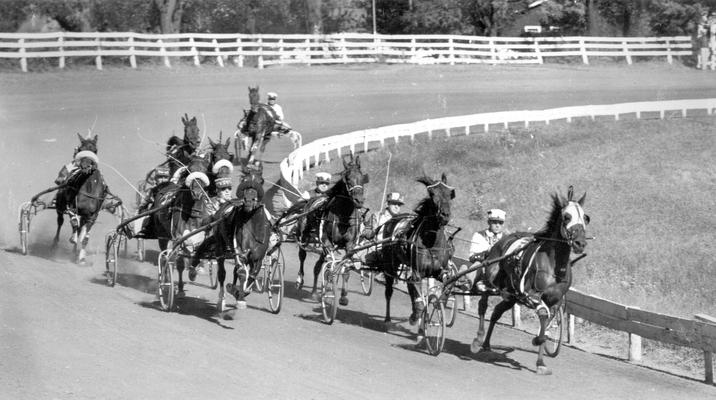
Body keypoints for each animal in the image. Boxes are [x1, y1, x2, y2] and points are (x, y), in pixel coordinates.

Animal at [282, 154, 366, 304]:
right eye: (347, 179)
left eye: (362, 177)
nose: (359, 200)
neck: (343, 216)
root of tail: (308, 202)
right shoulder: (327, 240)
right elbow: (330, 263)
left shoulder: (350, 245)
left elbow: (346, 267)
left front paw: (343, 296)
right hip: (304, 236)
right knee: (302, 255)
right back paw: (300, 280)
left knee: (317, 266)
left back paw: (315, 292)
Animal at [378, 173, 456, 326]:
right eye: (432, 194)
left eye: (450, 194)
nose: (445, 215)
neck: (432, 243)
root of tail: (393, 218)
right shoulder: (417, 272)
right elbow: (416, 293)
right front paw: (415, 316)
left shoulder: (440, 271)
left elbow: (449, 283)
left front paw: (439, 303)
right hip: (390, 264)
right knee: (389, 290)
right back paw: (388, 318)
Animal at [470, 186, 588, 376]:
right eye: (566, 217)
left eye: (585, 217)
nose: (580, 243)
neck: (555, 266)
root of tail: (500, 242)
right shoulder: (531, 294)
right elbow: (543, 317)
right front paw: (537, 342)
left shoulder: (553, 300)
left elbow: (546, 322)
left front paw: (540, 361)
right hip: (492, 280)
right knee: (483, 303)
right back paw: (478, 340)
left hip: (511, 294)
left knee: (496, 312)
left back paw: (487, 344)